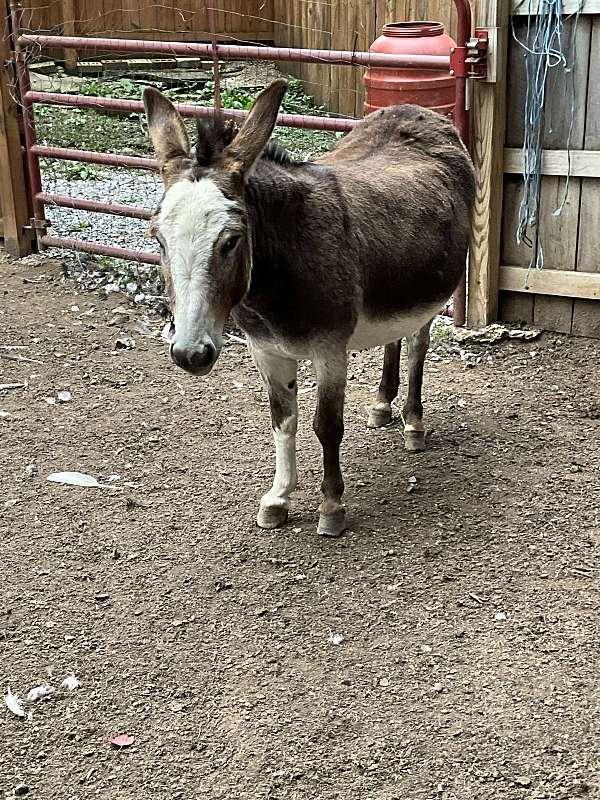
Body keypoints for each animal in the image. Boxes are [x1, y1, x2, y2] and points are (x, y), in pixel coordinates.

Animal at [143, 79, 475, 537]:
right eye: (157, 238)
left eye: (230, 241)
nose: (190, 354)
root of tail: (414, 110)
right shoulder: (265, 350)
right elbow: (283, 420)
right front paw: (278, 498)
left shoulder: (330, 350)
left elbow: (327, 425)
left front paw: (331, 507)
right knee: (394, 339)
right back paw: (381, 406)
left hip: (432, 295)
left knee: (416, 348)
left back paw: (413, 423)